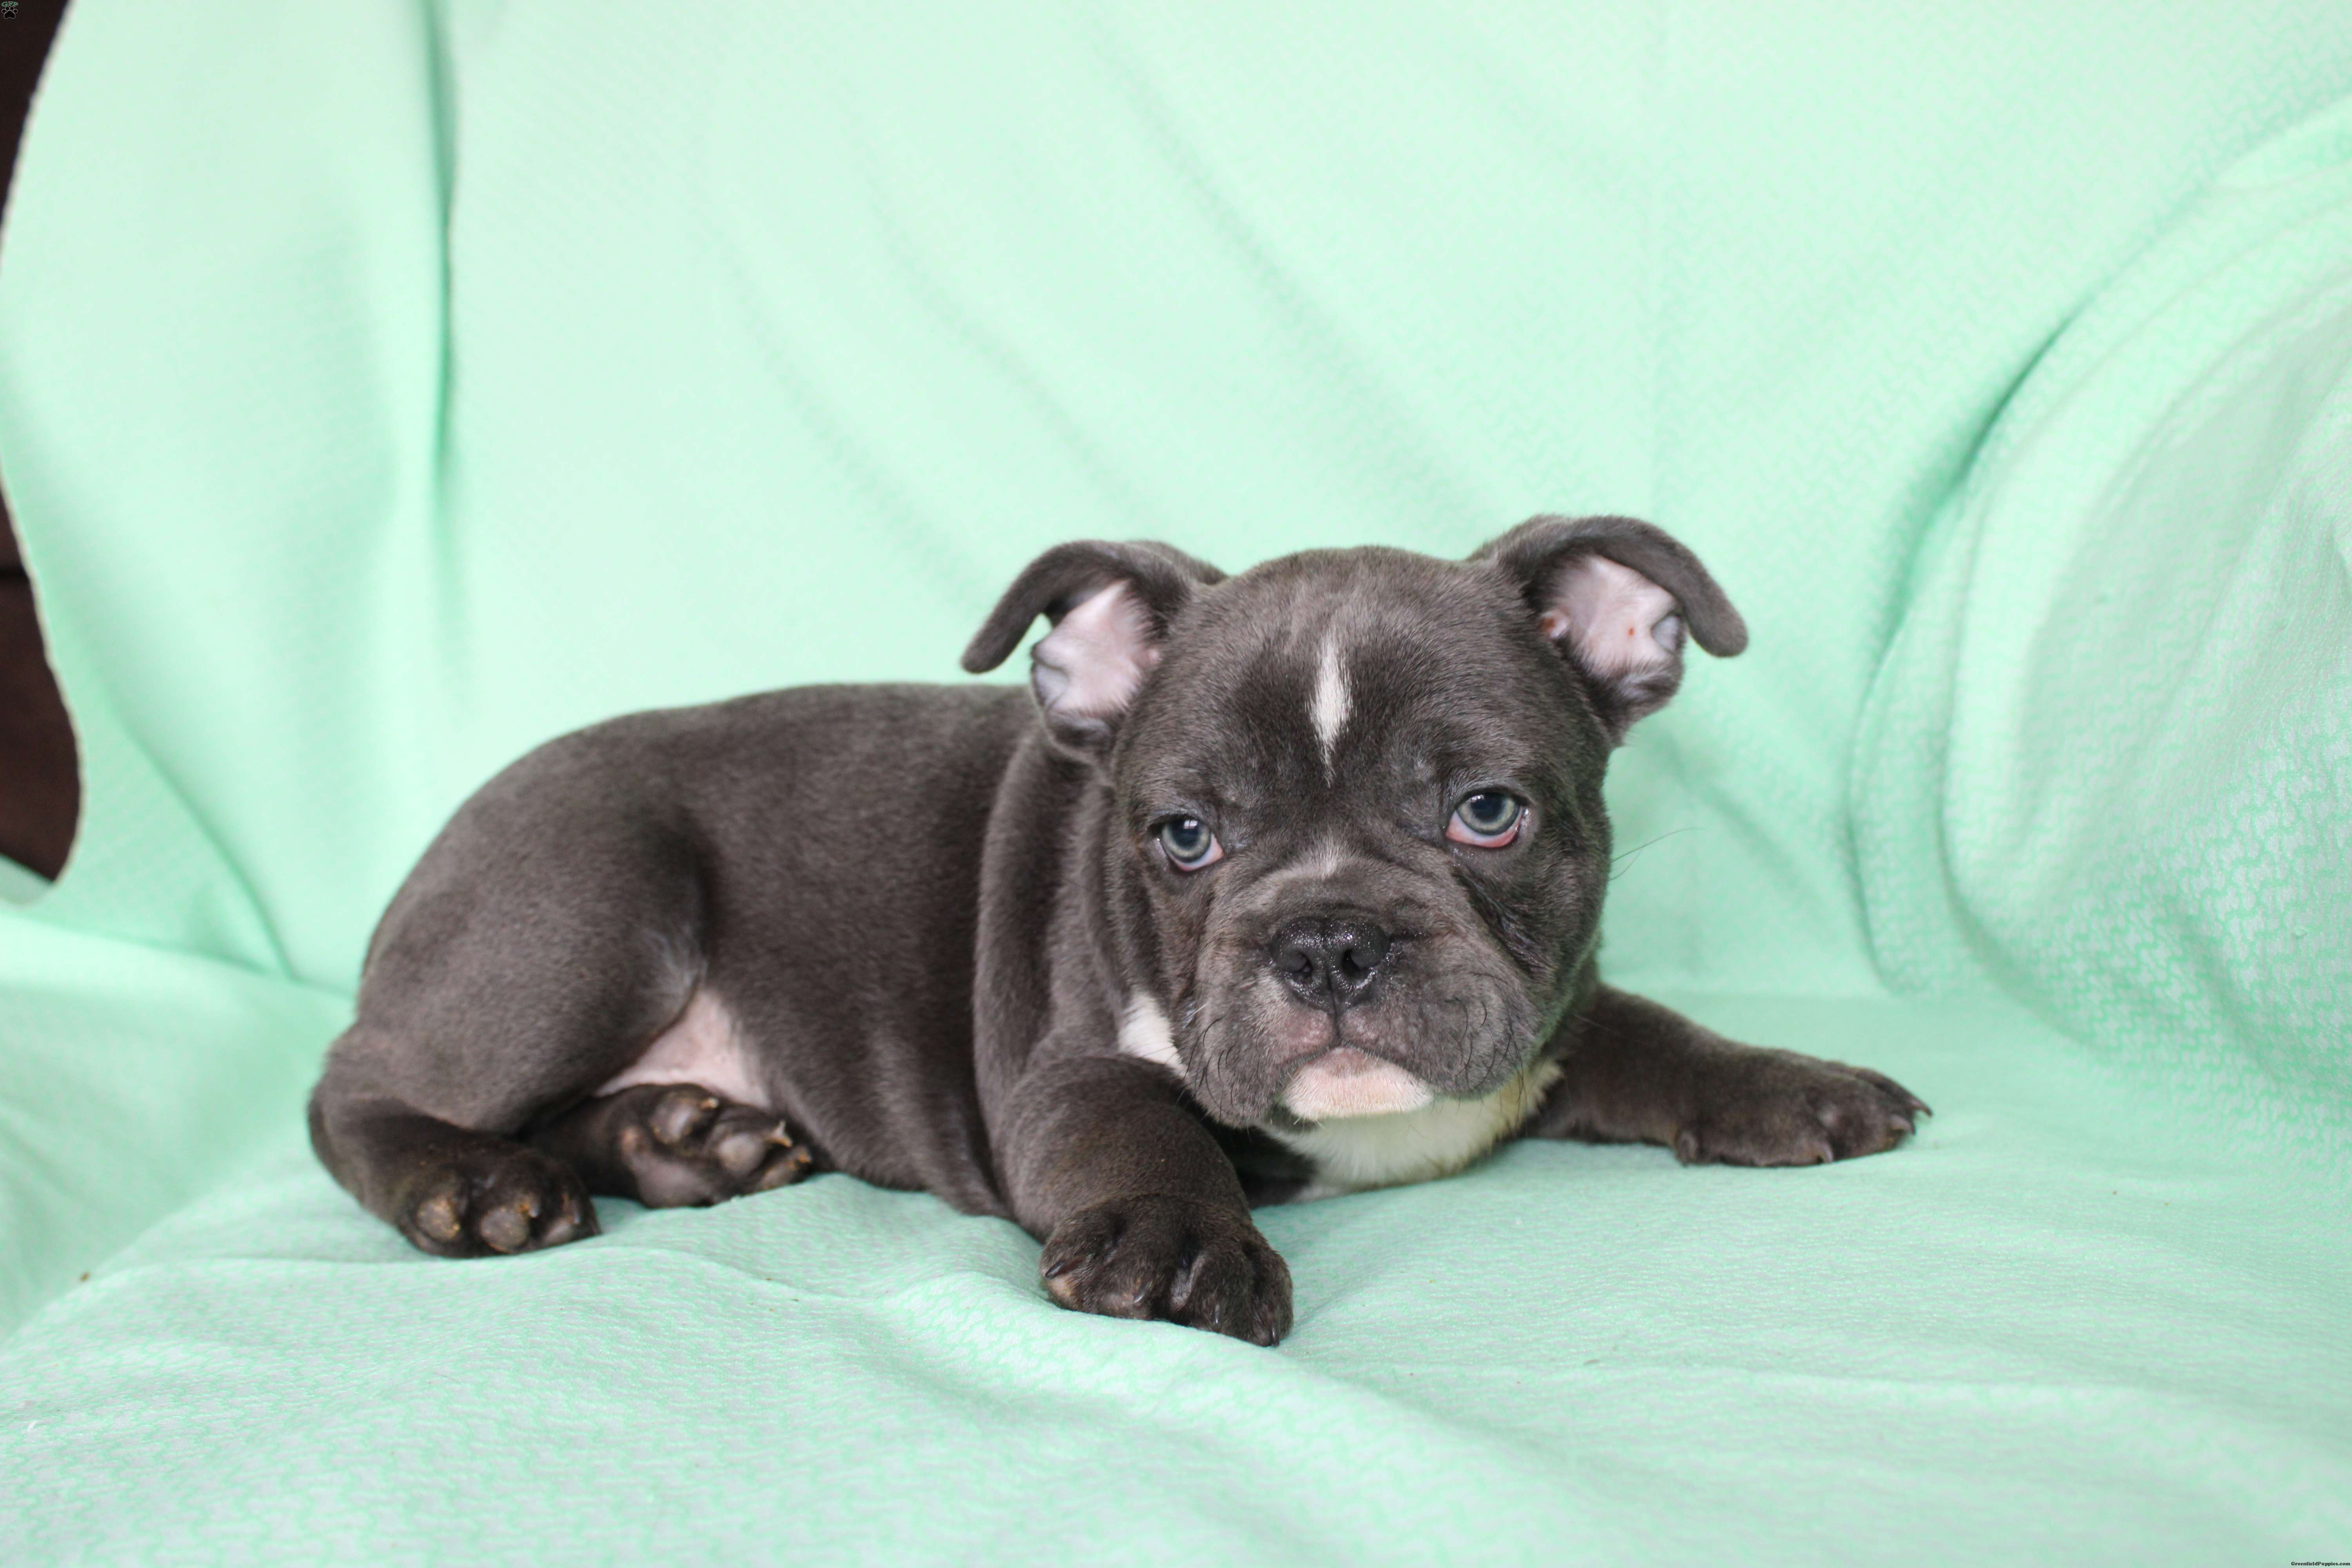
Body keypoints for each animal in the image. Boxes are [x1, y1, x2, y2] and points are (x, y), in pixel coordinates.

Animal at [310, 515, 1927, 1344]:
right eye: (1183, 838)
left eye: (1487, 812)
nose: (1328, 941)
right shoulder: (1072, 1069)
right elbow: (1139, 1133)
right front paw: (1176, 1243)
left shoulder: (1550, 1009)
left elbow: (1656, 1033)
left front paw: (1794, 1084)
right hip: (590, 900)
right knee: (358, 1089)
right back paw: (471, 1184)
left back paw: (676, 1142)